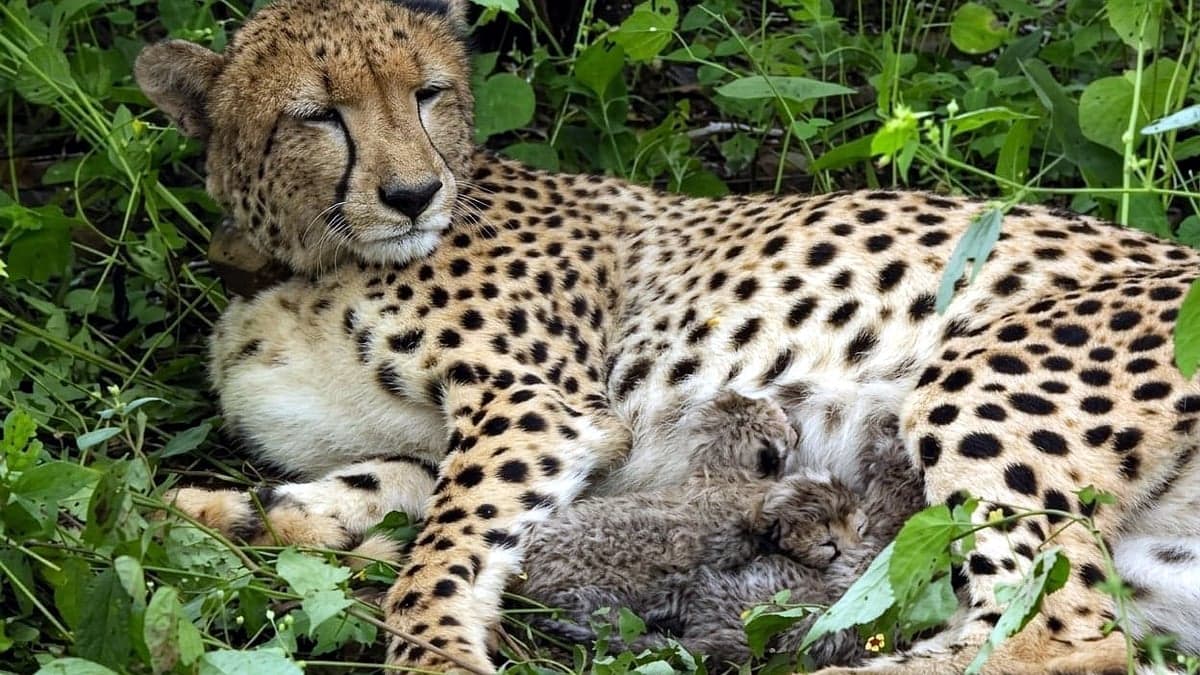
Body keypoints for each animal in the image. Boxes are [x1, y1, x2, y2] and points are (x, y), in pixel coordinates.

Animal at [134, 0, 1200, 671]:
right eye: (318, 114)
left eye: (429, 93)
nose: (413, 192)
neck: (308, 256)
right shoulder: (437, 445)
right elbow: (362, 496)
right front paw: (217, 511)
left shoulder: (539, 408)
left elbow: (437, 556)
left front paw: (433, 655)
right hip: (1155, 572)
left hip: (978, 375)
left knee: (1063, 638)